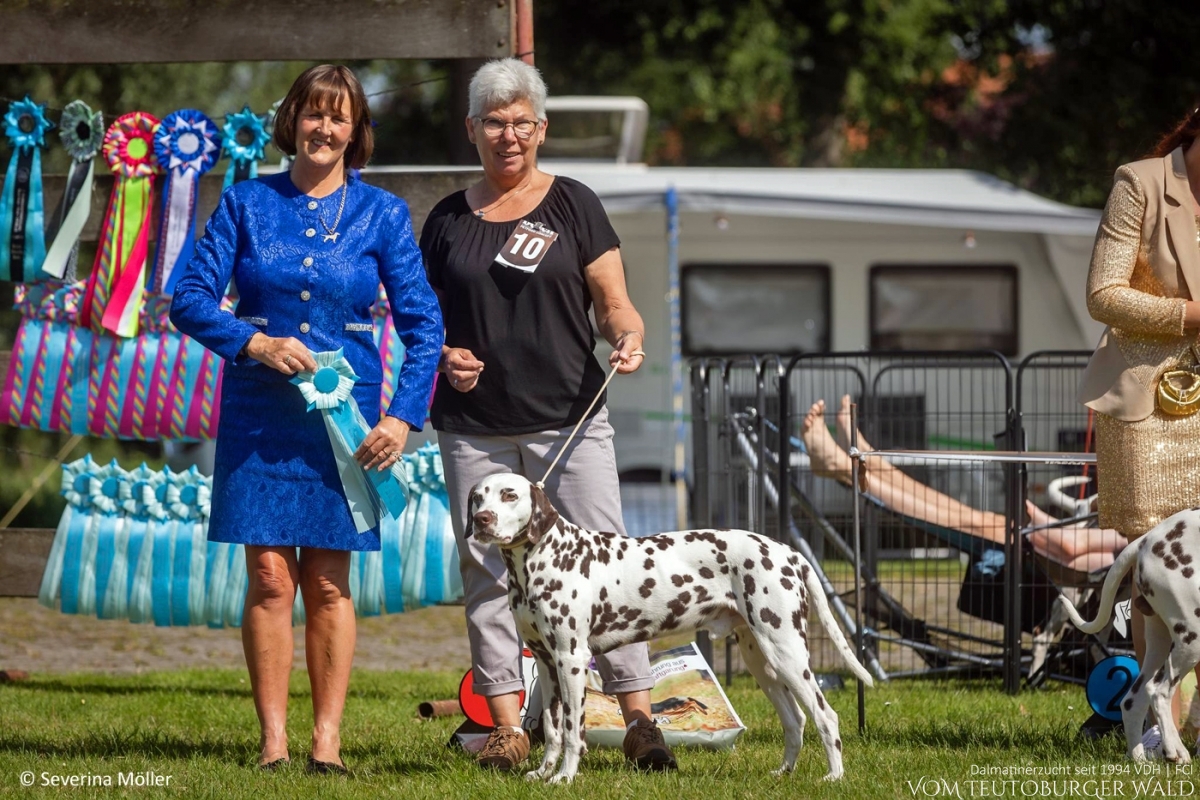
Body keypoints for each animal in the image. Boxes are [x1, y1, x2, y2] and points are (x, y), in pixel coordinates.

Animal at [465, 472, 873, 786]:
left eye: (509, 494)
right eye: (478, 496)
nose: (482, 519)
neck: (541, 558)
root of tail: (789, 552)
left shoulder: (571, 660)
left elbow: (571, 730)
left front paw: (565, 777)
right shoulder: (547, 663)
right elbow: (551, 731)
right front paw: (543, 773)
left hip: (786, 652)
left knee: (825, 717)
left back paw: (834, 777)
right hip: (763, 662)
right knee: (796, 720)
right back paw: (784, 772)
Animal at [1056, 510, 1200, 767]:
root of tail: (1146, 539)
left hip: (1159, 644)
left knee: (1133, 701)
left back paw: (1139, 759)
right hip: (1191, 636)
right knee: (1159, 693)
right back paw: (1175, 752)